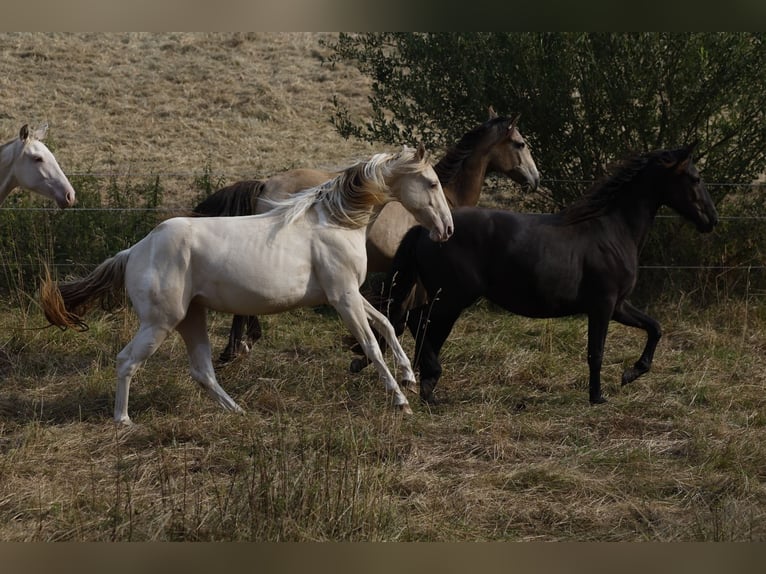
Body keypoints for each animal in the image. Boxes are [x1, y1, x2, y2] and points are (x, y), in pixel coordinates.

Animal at [40, 145, 453, 424]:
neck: (335, 221)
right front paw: (400, 400)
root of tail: (134, 251)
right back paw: (123, 420)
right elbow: (371, 344)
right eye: (431, 183)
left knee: (202, 371)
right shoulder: (343, 297)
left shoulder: (347, 293)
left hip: (192, 319)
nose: (447, 229)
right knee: (127, 361)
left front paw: (409, 378)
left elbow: (385, 326)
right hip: (160, 323)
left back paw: (238, 411)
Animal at [193, 107, 539, 363]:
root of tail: (266, 183)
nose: (535, 179)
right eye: (520, 144)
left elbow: (398, 315)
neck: (449, 195)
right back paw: (239, 347)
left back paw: (239, 346)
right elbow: (403, 316)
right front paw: (365, 354)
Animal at [384, 143, 718, 405]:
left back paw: (429, 388)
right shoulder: (603, 306)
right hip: (452, 298)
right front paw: (598, 397)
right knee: (418, 321)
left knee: (424, 328)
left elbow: (655, 328)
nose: (711, 220)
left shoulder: (619, 305)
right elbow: (596, 351)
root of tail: (429, 230)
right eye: (695, 178)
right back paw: (430, 381)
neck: (613, 230)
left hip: (449, 300)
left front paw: (631, 373)